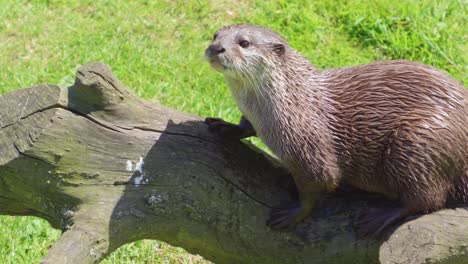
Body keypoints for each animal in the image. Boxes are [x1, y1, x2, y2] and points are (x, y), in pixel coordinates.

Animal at [204, 24, 468, 235]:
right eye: (215, 35)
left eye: (244, 43)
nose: (217, 48)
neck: (290, 103)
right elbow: (246, 126)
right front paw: (228, 127)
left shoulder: (309, 145)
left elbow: (320, 182)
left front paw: (295, 213)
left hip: (419, 140)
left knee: (427, 199)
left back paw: (380, 216)